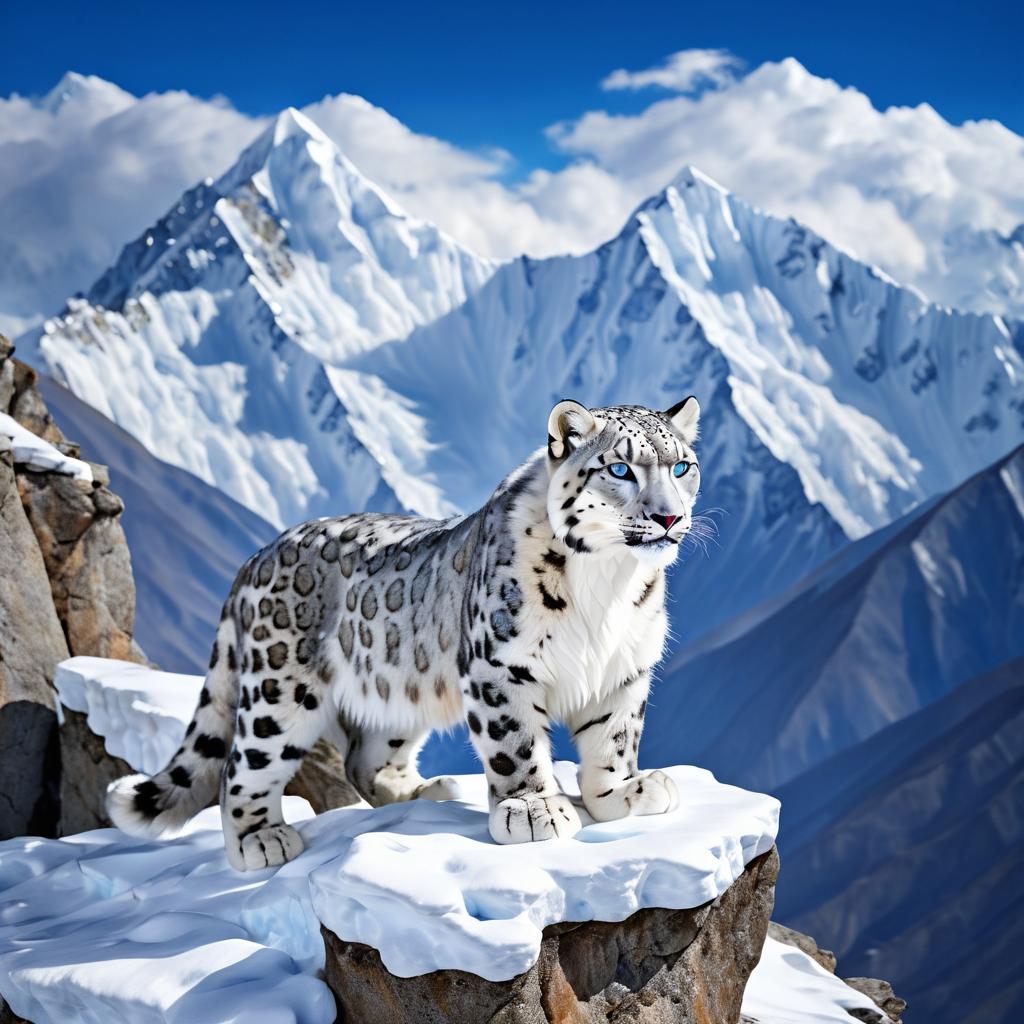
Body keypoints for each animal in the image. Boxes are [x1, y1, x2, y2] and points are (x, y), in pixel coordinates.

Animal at [110, 395, 704, 868]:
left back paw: (427, 792)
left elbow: (615, 737)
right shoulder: (498, 665)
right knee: (243, 763)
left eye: (682, 466)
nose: (669, 518)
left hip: (396, 687)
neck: (608, 584)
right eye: (620, 468)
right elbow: (514, 741)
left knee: (363, 757)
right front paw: (533, 808)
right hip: (278, 688)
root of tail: (257, 555)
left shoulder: (624, 667)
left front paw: (624, 792)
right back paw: (260, 841)